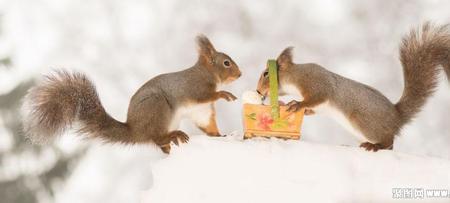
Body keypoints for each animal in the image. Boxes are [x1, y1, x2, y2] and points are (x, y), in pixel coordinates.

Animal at [22, 35, 243, 153]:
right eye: (226, 63)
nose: (240, 74)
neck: (207, 73)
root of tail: (134, 130)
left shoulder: (201, 111)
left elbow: (208, 125)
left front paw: (220, 135)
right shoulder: (194, 89)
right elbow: (208, 95)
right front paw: (225, 94)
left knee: (158, 142)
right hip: (158, 107)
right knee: (157, 137)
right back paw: (174, 135)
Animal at [256, 23, 450, 151]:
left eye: (266, 74)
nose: (258, 91)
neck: (295, 75)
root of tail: (397, 118)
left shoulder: (316, 82)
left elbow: (316, 97)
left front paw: (297, 104)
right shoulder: (319, 104)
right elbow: (313, 109)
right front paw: (285, 104)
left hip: (365, 123)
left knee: (389, 142)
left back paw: (375, 146)